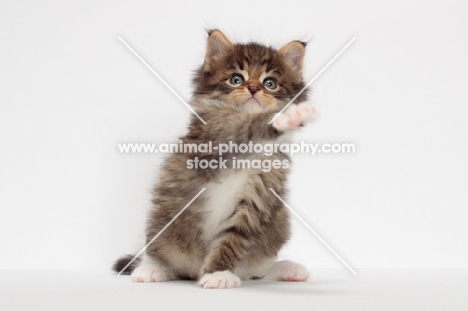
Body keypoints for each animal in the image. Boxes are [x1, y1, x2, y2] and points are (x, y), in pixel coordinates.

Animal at [113, 29, 318, 290]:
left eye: (270, 83)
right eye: (236, 79)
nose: (254, 88)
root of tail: (192, 270)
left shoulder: (257, 199)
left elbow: (232, 241)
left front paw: (216, 273)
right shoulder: (214, 140)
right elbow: (246, 127)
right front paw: (288, 116)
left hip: (278, 225)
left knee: (253, 269)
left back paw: (286, 268)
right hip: (163, 218)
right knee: (157, 249)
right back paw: (150, 269)